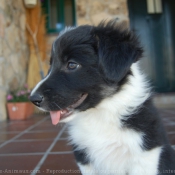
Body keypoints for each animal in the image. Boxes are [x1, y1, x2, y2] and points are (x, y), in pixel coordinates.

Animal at [30, 21, 175, 174]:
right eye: (50, 65)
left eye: (72, 64)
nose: (33, 99)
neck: (101, 114)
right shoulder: (85, 161)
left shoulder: (144, 157)